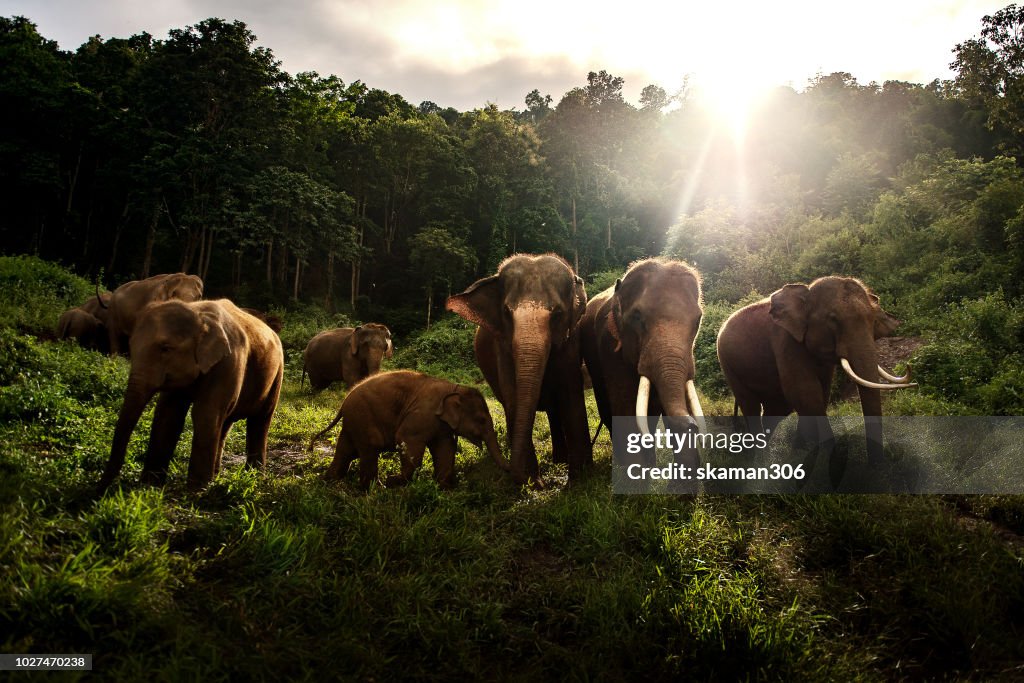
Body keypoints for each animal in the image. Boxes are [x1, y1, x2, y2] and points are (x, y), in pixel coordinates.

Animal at [96, 299, 284, 491]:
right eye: (131, 345)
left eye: (165, 348)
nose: (99, 488)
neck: (198, 312)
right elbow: (168, 414)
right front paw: (150, 486)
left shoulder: (229, 361)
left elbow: (205, 413)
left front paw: (196, 490)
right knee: (225, 421)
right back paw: (216, 476)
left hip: (278, 373)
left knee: (260, 420)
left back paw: (254, 477)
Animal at [307, 368, 507, 491]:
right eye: (481, 420)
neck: (454, 387)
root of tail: (344, 402)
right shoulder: (422, 415)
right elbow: (407, 440)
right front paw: (394, 480)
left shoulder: (441, 425)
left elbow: (444, 449)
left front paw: (444, 487)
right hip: (362, 417)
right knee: (369, 447)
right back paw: (376, 488)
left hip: (354, 423)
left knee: (346, 450)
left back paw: (329, 480)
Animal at [446, 252, 593, 485]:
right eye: (507, 312)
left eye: (557, 313)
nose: (539, 483)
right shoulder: (502, 347)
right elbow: (513, 396)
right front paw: (532, 482)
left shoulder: (571, 342)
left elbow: (571, 395)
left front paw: (577, 481)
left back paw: (560, 461)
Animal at [716, 274, 917, 466]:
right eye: (833, 320)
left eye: (873, 321)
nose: (878, 466)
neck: (807, 291)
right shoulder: (786, 341)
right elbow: (804, 391)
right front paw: (830, 455)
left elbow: (820, 392)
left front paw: (803, 453)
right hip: (728, 364)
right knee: (751, 405)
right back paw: (758, 459)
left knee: (777, 409)